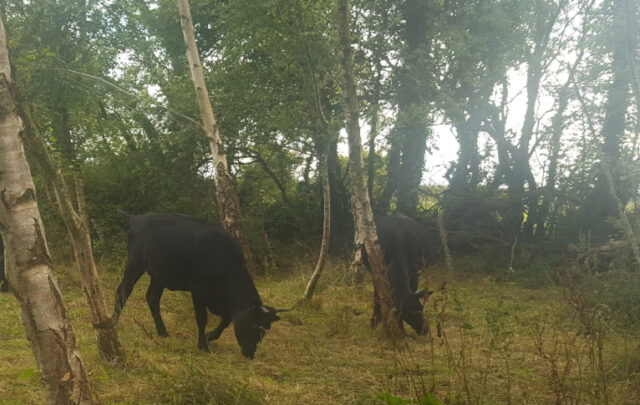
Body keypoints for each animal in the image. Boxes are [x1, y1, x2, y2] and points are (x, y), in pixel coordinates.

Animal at [113, 212, 287, 358]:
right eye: (254, 325)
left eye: (266, 330)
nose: (250, 353)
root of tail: (138, 218)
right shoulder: (198, 290)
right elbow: (202, 318)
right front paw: (203, 345)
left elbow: (226, 319)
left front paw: (210, 336)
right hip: (135, 263)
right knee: (123, 291)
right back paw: (113, 324)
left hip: (159, 274)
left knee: (152, 298)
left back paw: (163, 332)